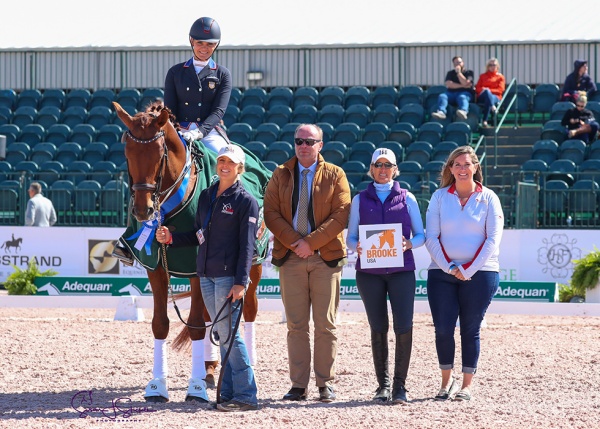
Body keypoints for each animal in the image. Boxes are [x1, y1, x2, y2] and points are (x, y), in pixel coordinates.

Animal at [112, 101, 270, 402]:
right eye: (127, 152)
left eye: (159, 153)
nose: (143, 211)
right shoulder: (156, 267)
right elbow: (160, 324)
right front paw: (157, 385)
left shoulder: (197, 268)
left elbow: (196, 324)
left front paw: (195, 387)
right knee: (213, 314)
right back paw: (209, 369)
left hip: (253, 265)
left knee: (249, 309)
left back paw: (247, 363)